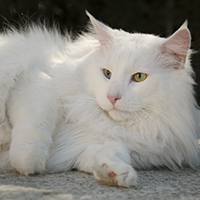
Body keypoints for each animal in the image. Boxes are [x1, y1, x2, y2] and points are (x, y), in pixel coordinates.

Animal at [0, 12, 198, 188]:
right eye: (107, 73)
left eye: (139, 77)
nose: (112, 97)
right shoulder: (36, 79)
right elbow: (37, 123)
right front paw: (28, 161)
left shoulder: (88, 147)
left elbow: (108, 154)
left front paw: (116, 174)